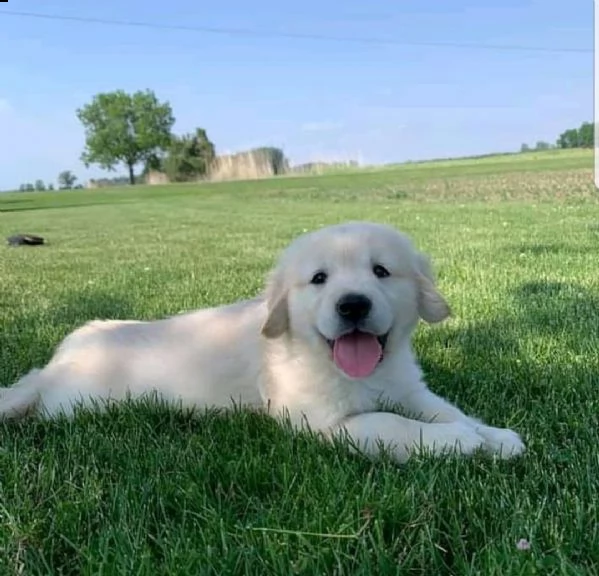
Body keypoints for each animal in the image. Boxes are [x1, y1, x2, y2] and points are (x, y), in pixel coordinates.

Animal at [0, 220, 524, 464]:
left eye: (381, 271)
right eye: (319, 279)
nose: (352, 305)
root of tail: (53, 367)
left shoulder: (408, 389)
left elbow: (448, 409)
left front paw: (493, 437)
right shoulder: (321, 422)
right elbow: (390, 424)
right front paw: (455, 441)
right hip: (78, 404)